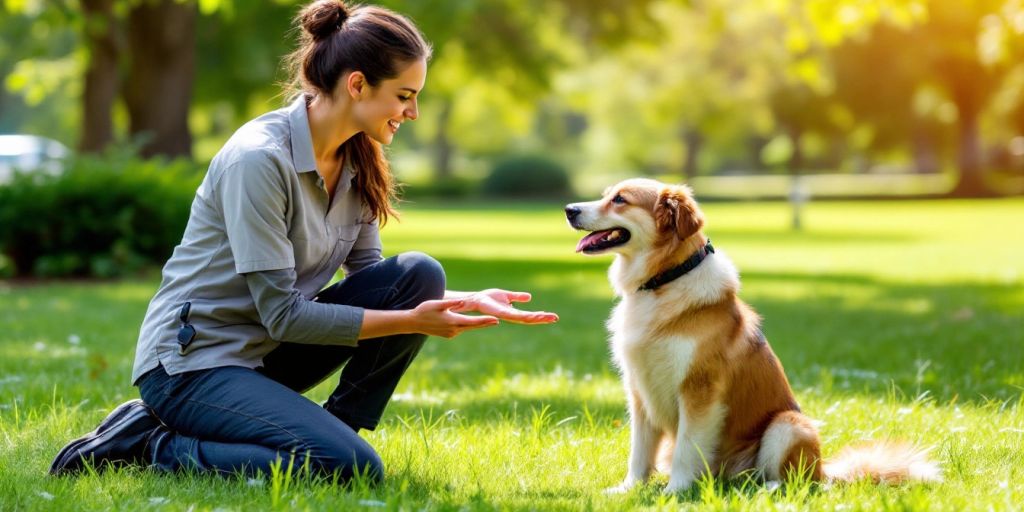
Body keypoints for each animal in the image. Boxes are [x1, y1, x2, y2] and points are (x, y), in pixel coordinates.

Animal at [565, 179, 937, 491]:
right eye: (606, 194)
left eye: (620, 200)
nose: (569, 209)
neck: (663, 282)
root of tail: (826, 469)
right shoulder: (640, 391)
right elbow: (640, 452)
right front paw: (628, 490)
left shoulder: (700, 391)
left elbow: (687, 447)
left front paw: (674, 492)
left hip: (789, 425)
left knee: (797, 481)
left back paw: (768, 488)